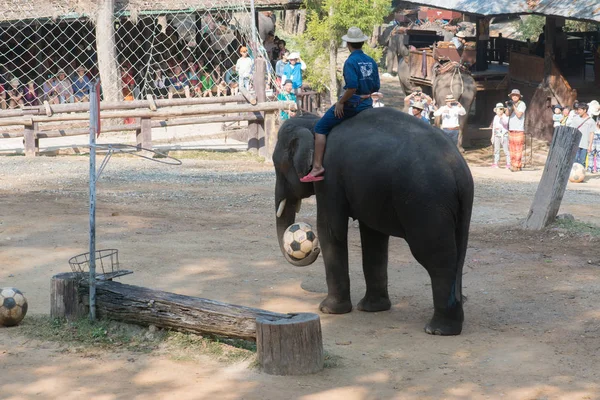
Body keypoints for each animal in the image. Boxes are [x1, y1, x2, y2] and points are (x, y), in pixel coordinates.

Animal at [272, 107, 474, 334]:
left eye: (277, 165)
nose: (310, 250)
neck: (315, 121)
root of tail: (459, 170)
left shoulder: (328, 177)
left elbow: (331, 229)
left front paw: (328, 310)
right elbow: (373, 236)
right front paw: (372, 308)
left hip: (427, 202)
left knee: (436, 256)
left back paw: (437, 329)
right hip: (457, 207)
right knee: (458, 251)